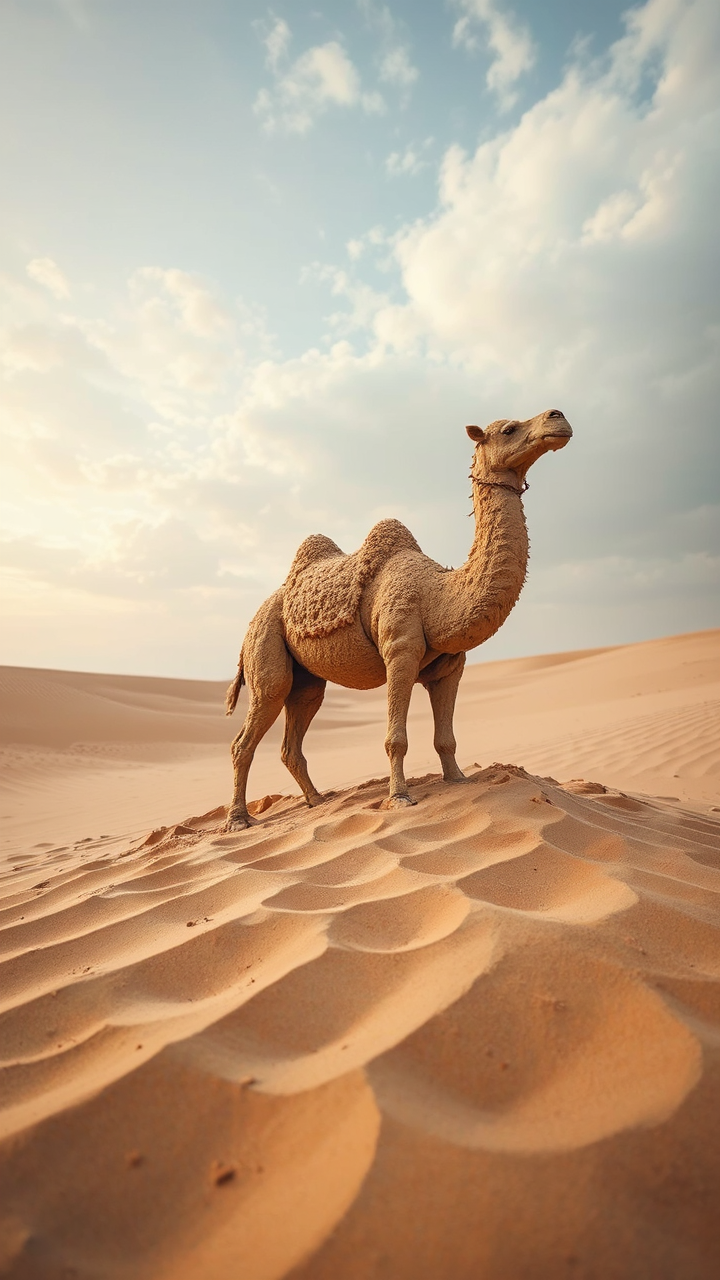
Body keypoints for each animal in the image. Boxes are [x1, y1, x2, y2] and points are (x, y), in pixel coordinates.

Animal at [224, 408, 572, 828]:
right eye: (508, 429)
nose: (558, 418)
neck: (438, 594)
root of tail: (251, 624)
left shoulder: (450, 666)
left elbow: (446, 737)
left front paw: (458, 780)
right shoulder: (400, 649)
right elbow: (396, 738)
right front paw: (400, 797)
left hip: (306, 680)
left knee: (297, 725)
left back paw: (317, 801)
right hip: (264, 642)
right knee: (251, 727)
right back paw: (239, 820)